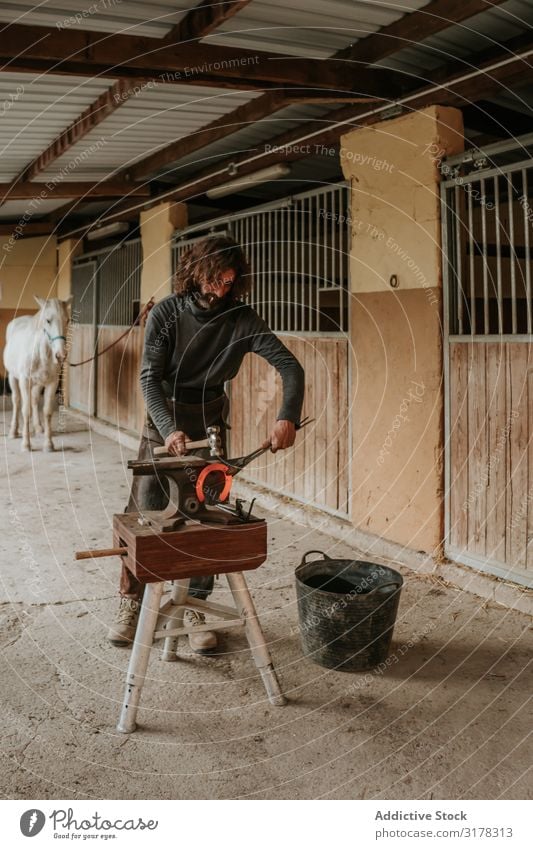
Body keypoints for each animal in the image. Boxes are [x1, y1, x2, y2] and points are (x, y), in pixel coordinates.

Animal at [3, 302, 71, 454]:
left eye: (67, 320)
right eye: (48, 320)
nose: (61, 355)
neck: (42, 353)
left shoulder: (51, 382)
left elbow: (46, 411)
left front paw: (48, 444)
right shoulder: (24, 380)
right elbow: (24, 410)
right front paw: (25, 444)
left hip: (38, 383)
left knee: (33, 400)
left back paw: (39, 428)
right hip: (12, 377)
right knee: (17, 401)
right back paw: (13, 431)